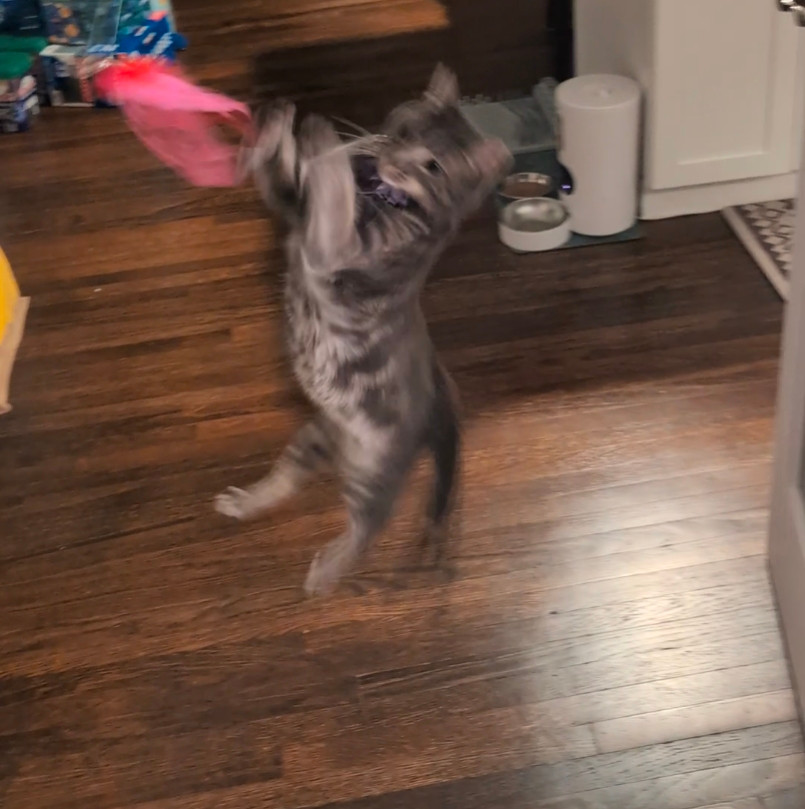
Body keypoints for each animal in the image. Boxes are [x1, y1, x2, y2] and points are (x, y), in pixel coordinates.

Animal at [215, 64, 508, 592]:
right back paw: (245, 501)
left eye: (432, 166)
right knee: (288, 478)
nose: (387, 157)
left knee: (370, 525)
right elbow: (294, 176)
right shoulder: (297, 212)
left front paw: (320, 137)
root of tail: (442, 398)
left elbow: (332, 186)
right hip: (317, 437)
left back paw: (326, 571)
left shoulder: (339, 247)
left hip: (374, 472)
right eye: (404, 131)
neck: (385, 200)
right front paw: (279, 126)